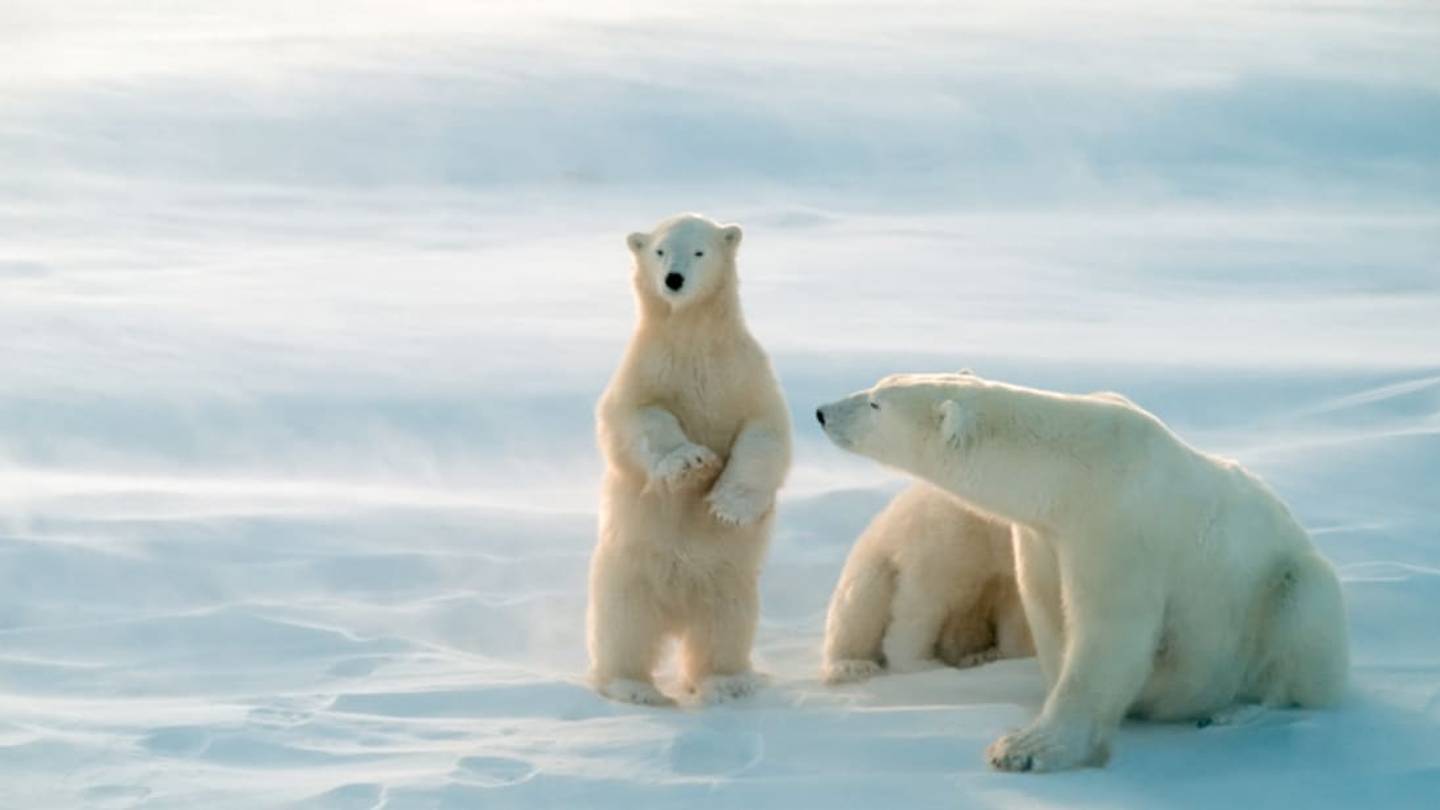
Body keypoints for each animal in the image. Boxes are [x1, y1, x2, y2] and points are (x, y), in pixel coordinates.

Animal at [587, 213, 792, 707]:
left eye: (699, 251)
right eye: (660, 250)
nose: (674, 280)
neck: (693, 337)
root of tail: (676, 610)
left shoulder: (743, 374)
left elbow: (765, 434)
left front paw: (727, 505)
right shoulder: (647, 370)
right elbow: (637, 418)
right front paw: (690, 463)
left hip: (729, 582)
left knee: (723, 628)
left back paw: (728, 682)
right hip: (625, 572)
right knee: (623, 628)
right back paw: (634, 687)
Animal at [822, 481, 1033, 685]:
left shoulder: (1006, 571)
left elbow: (1016, 616)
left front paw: (1004, 655)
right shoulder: (949, 539)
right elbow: (923, 602)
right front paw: (923, 664)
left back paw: (979, 655)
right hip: (871, 564)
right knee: (861, 608)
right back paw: (852, 665)